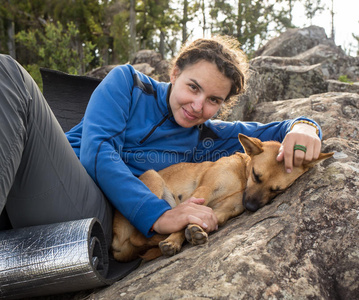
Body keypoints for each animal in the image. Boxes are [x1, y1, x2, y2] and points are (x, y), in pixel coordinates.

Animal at [112, 135, 334, 262]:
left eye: (277, 190)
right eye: (256, 175)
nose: (250, 206)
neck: (241, 177)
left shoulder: (224, 211)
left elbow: (205, 218)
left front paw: (193, 231)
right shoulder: (204, 191)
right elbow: (184, 217)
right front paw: (175, 240)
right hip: (154, 178)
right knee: (140, 235)